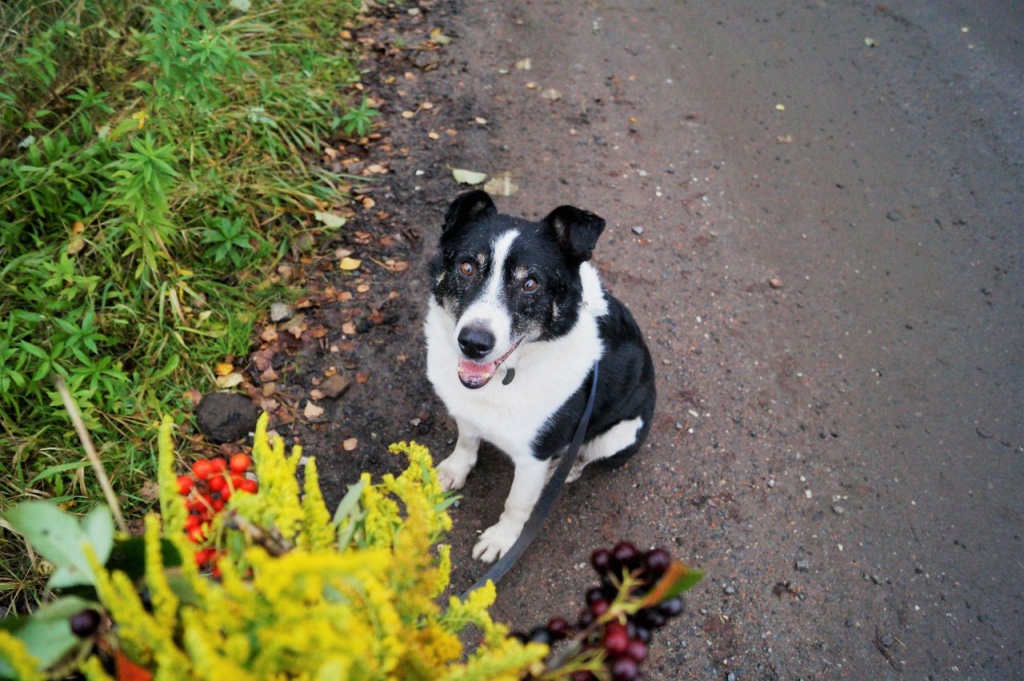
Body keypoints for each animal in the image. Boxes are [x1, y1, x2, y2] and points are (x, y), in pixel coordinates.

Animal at [423, 188, 655, 561]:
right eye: (466, 266)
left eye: (530, 283)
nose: (473, 344)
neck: (510, 373)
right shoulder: (467, 410)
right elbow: (467, 439)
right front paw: (455, 469)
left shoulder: (534, 458)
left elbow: (517, 504)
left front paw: (502, 539)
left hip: (620, 434)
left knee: (587, 456)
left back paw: (566, 470)